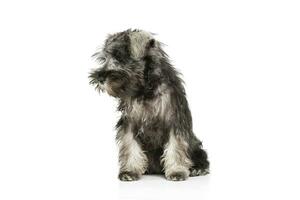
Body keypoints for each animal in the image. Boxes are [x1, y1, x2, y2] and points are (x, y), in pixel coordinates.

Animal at [89, 29, 209, 181]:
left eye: (120, 57)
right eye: (105, 58)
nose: (100, 77)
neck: (145, 89)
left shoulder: (174, 122)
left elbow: (176, 147)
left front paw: (177, 171)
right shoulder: (130, 124)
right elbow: (130, 146)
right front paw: (130, 171)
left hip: (196, 146)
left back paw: (198, 169)